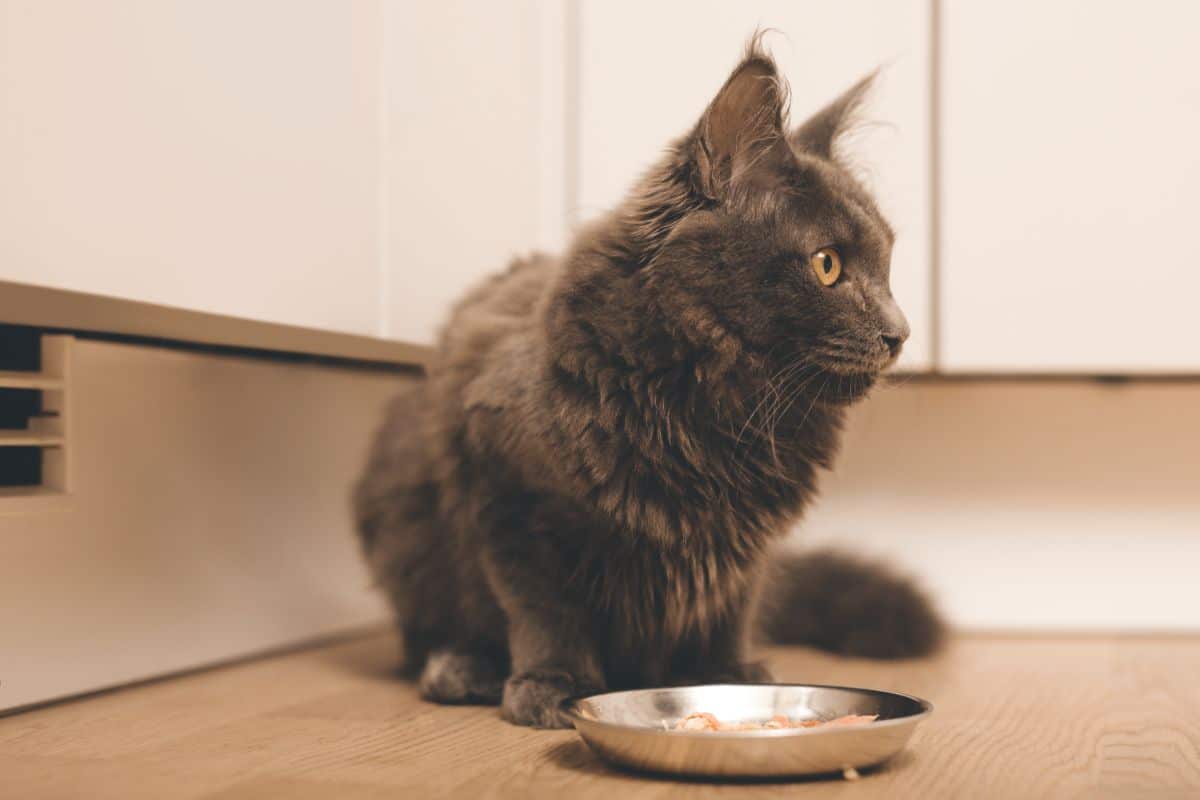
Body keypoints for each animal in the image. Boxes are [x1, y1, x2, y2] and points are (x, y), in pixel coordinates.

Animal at [350, 42, 940, 734]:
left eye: (888, 266)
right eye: (827, 265)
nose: (901, 332)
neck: (716, 415)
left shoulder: (745, 545)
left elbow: (726, 610)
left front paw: (727, 677)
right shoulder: (509, 498)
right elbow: (544, 610)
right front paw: (553, 684)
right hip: (404, 517)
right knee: (433, 628)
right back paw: (461, 667)